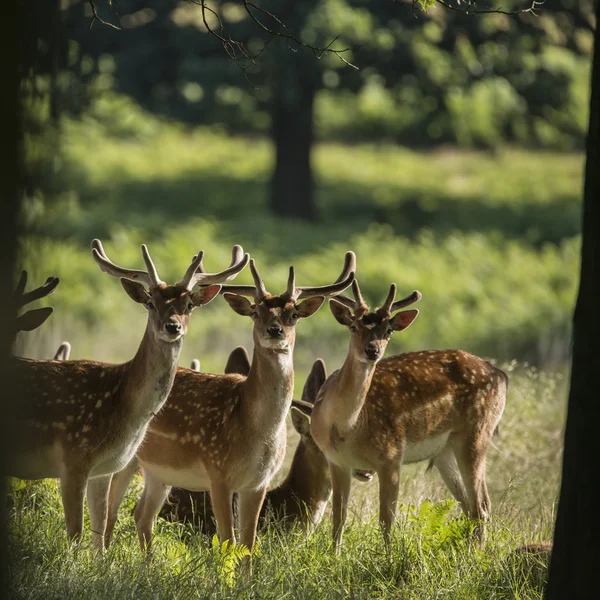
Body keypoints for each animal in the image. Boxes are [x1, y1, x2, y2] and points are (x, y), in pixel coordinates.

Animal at [5, 238, 248, 548]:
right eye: (150, 303)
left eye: (189, 305)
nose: (172, 326)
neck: (121, 406)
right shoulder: (73, 457)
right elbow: (75, 532)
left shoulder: (103, 469)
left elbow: (98, 532)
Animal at [104, 253, 356, 564]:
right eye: (256, 312)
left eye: (293, 314)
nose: (275, 331)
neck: (253, 428)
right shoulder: (218, 473)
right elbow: (228, 541)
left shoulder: (258, 482)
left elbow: (248, 544)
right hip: (127, 458)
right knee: (111, 510)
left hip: (159, 472)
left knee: (141, 515)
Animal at [310, 282, 506, 552]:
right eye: (354, 326)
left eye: (388, 330)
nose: (372, 350)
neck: (347, 428)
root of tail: (502, 375)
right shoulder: (337, 461)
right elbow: (339, 518)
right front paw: (335, 557)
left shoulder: (392, 455)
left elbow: (386, 519)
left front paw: (388, 557)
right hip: (446, 450)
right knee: (470, 506)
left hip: (477, 433)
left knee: (481, 507)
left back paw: (474, 555)